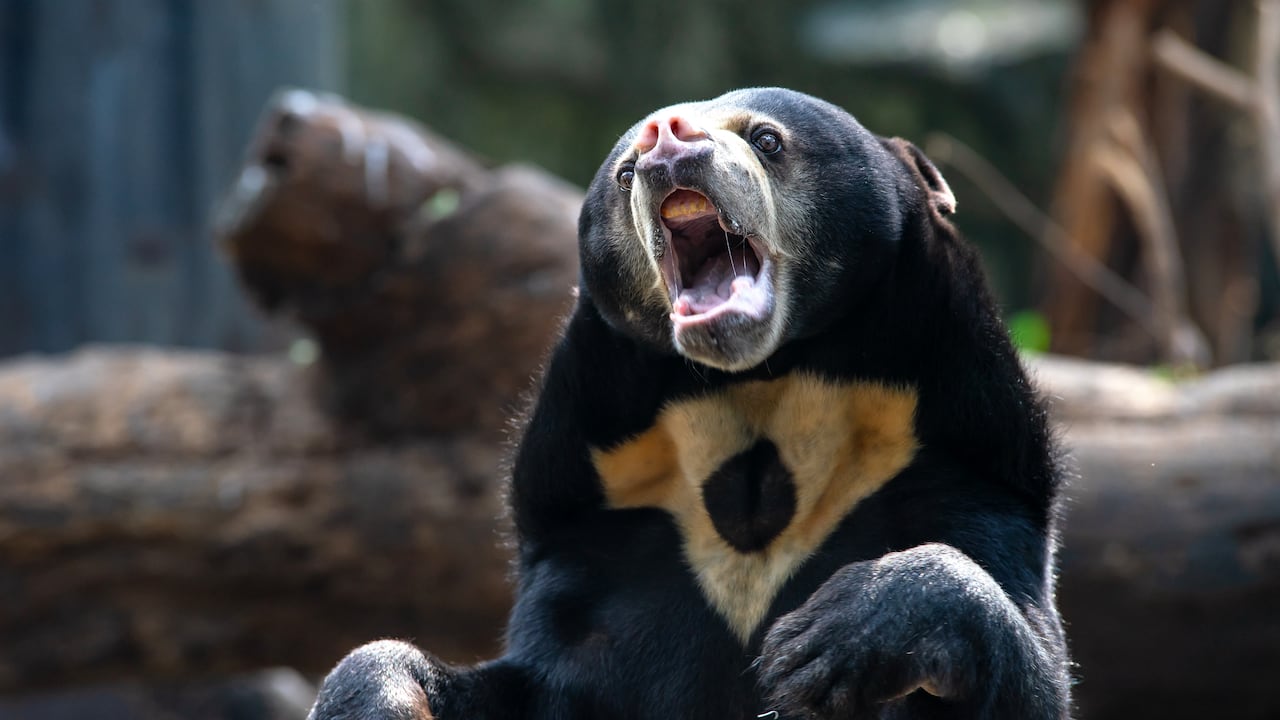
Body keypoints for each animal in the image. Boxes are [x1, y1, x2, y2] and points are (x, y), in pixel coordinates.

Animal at [307, 87, 1072, 720]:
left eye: (766, 138)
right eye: (624, 172)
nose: (664, 136)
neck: (759, 386)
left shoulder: (957, 454)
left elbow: (1019, 651)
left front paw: (824, 640)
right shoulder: (597, 513)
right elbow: (528, 675)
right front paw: (374, 696)